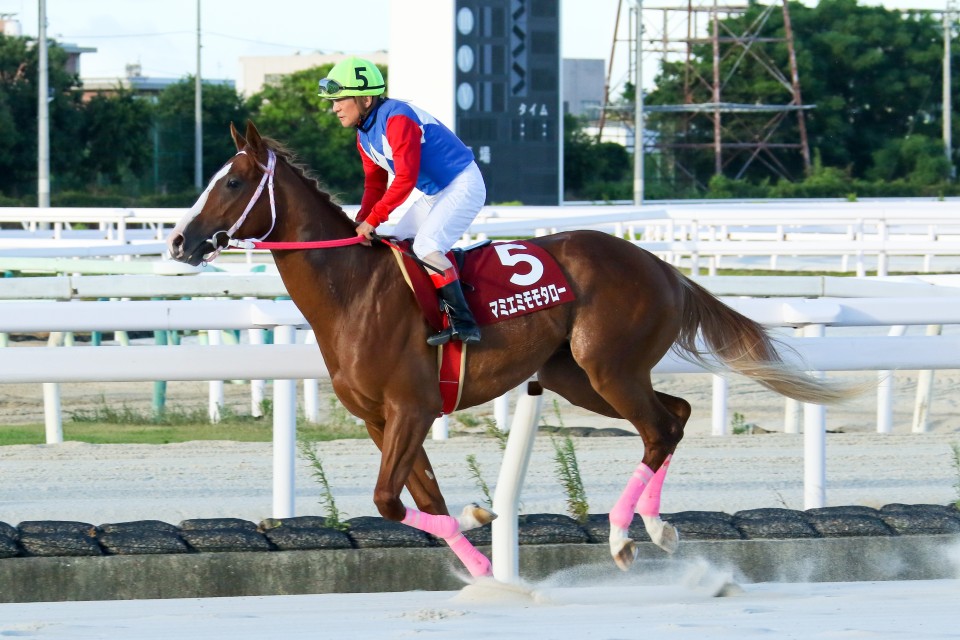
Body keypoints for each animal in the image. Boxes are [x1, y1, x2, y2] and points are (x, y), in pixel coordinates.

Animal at [167, 122, 856, 576]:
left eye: (232, 181)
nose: (178, 240)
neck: (353, 291)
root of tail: (662, 266)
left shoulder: (412, 409)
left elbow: (390, 500)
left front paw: (481, 525)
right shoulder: (380, 420)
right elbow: (421, 502)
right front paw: (482, 564)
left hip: (609, 368)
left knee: (661, 427)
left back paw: (626, 536)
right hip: (577, 377)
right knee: (676, 416)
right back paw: (656, 526)